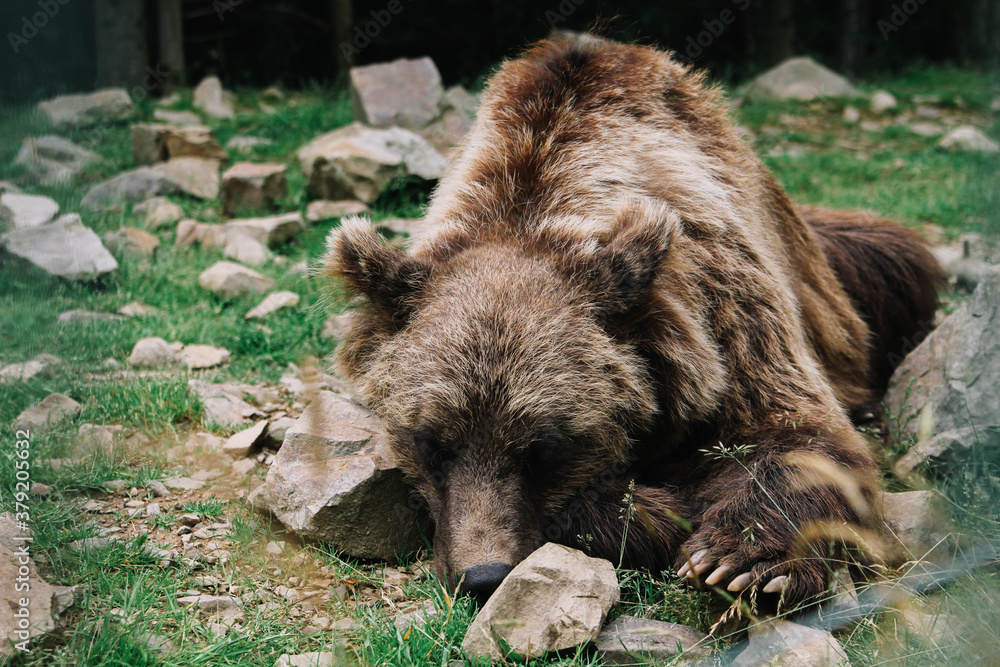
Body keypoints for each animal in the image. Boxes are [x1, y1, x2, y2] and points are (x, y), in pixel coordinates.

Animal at [322, 37, 941, 619]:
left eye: (544, 447)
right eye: (430, 441)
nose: (483, 575)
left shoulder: (727, 311)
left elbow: (800, 435)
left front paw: (743, 559)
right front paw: (664, 511)